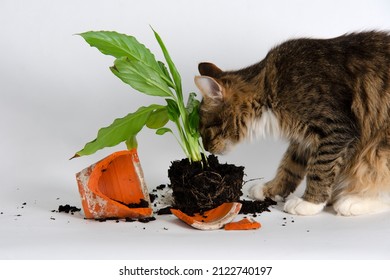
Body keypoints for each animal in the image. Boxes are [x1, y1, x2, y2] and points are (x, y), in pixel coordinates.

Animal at [195, 31, 390, 217]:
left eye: (205, 129)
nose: (207, 148)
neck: (268, 87)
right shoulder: (304, 139)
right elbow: (289, 167)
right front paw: (270, 189)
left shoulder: (335, 129)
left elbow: (319, 170)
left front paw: (310, 203)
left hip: (378, 149)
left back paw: (352, 201)